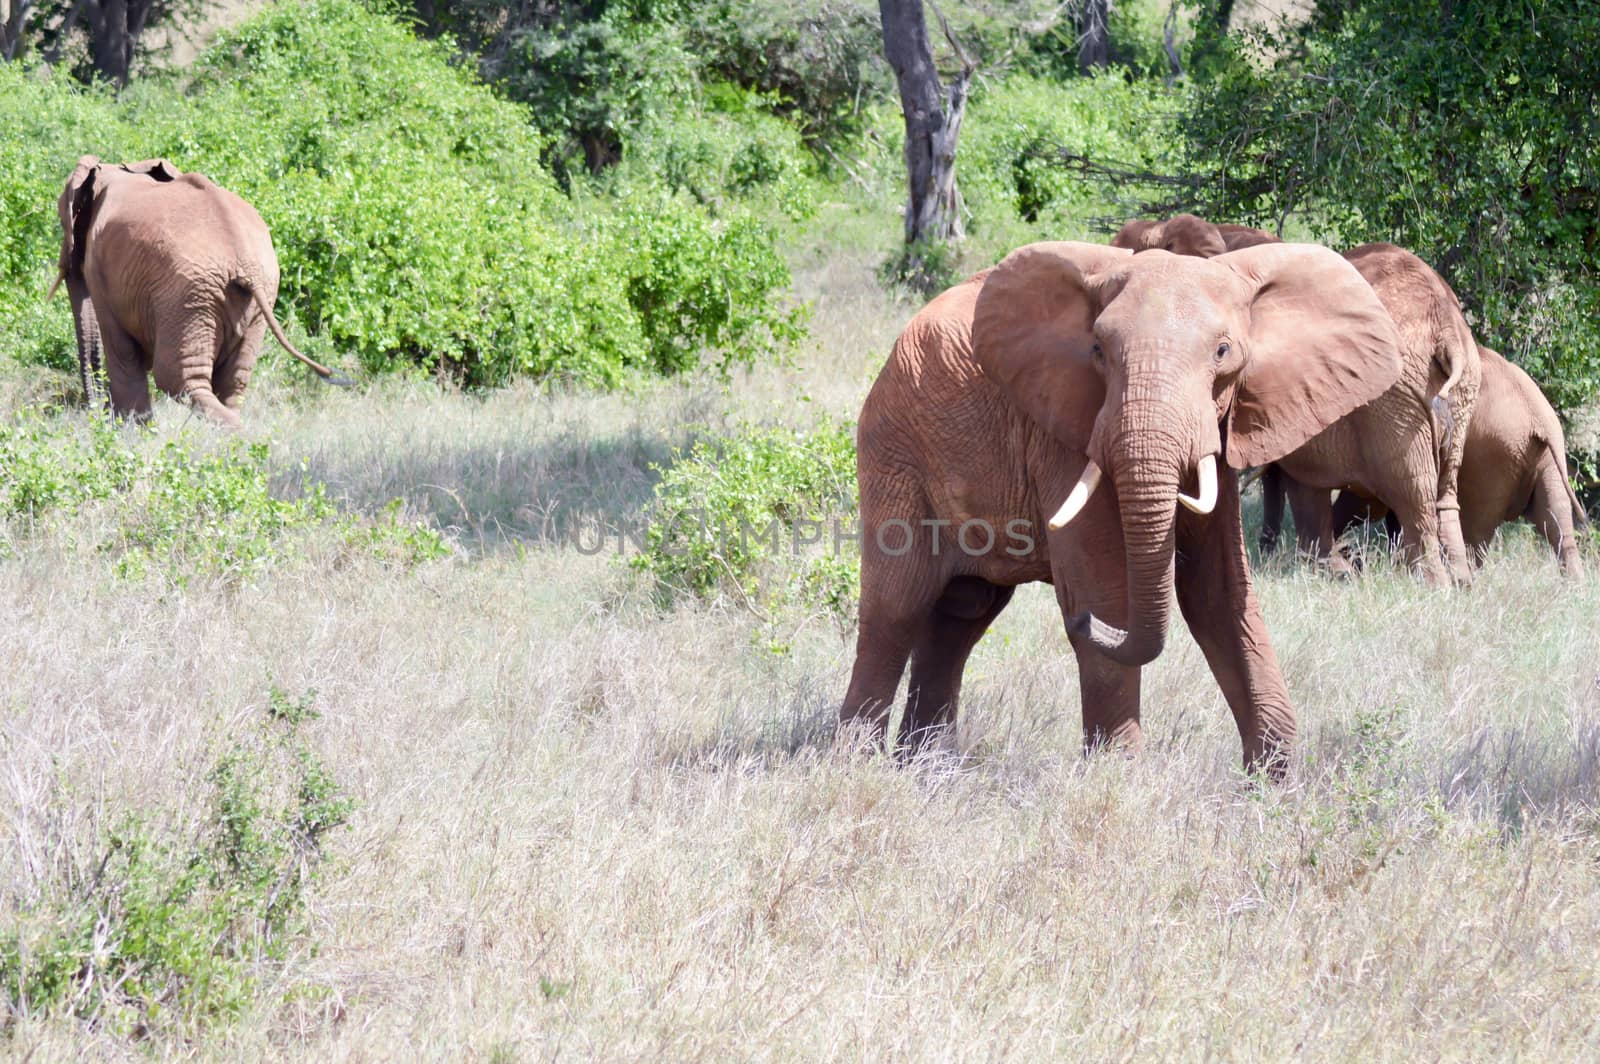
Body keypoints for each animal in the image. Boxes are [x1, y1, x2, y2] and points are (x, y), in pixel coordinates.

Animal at [52, 156, 347, 425]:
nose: (94, 411)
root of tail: (244, 264)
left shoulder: (101, 269)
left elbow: (123, 353)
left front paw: (134, 433)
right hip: (252, 296)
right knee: (233, 381)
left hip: (186, 296)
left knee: (178, 378)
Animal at [844, 240, 1408, 771]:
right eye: (1097, 349)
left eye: (1223, 352)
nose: (1078, 619)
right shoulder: (1066, 429)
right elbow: (1107, 587)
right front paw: (1119, 776)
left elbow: (1219, 594)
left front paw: (1275, 783)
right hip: (894, 449)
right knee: (896, 608)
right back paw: (856, 765)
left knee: (961, 615)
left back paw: (925, 770)